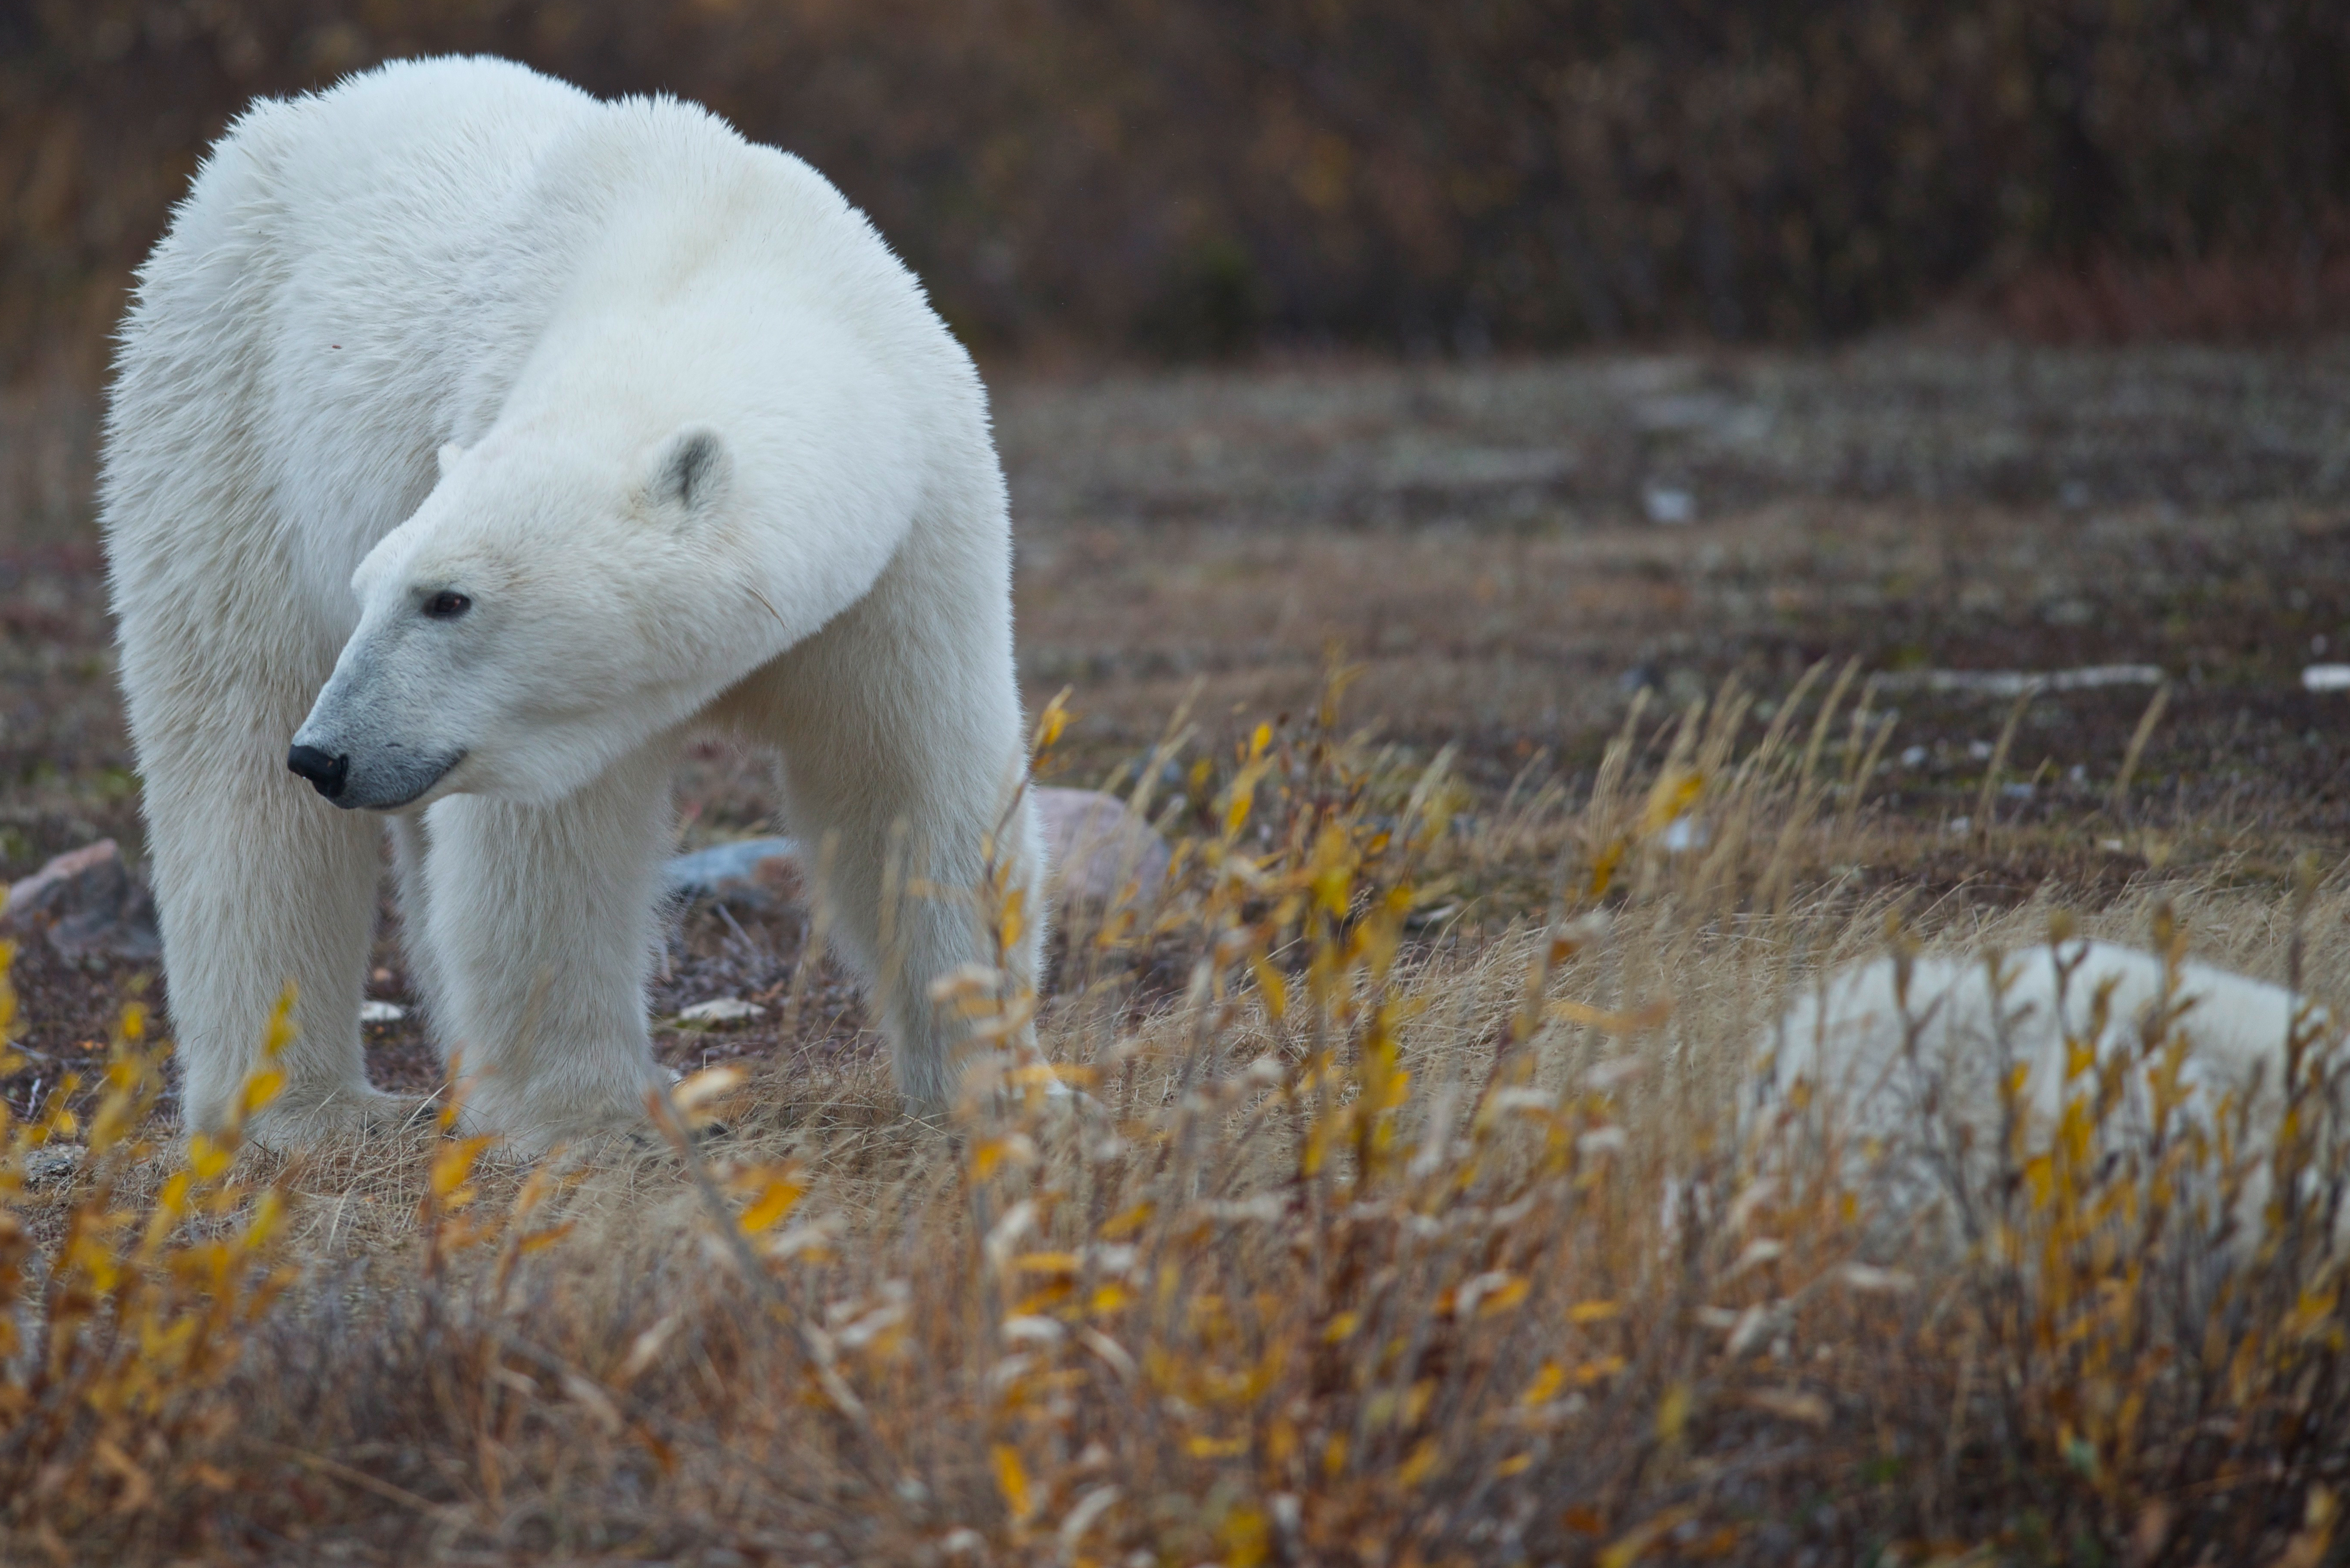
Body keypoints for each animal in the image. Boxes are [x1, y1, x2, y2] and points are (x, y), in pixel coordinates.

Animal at [100, 56, 1043, 1152]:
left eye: (448, 598)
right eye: (391, 588)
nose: (329, 753)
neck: (726, 253)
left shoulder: (911, 543)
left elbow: (912, 781)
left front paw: (999, 1082)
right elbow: (548, 849)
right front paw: (584, 1118)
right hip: (224, 411)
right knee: (236, 750)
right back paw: (301, 1106)